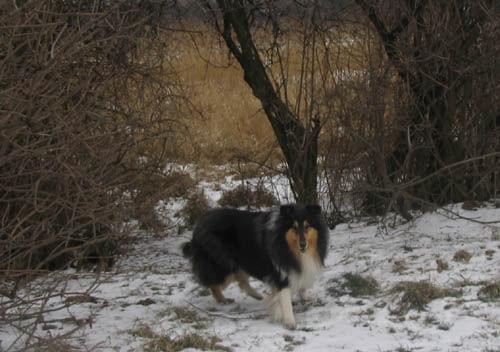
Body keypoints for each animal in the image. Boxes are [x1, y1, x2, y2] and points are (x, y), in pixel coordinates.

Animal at [183, 204, 328, 330]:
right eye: (294, 227)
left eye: (307, 226)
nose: (303, 244)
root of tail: (197, 227)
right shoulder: (281, 273)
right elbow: (285, 299)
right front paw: (289, 322)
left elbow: (301, 285)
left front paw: (305, 298)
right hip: (223, 264)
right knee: (214, 284)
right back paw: (223, 300)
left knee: (240, 282)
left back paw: (258, 296)